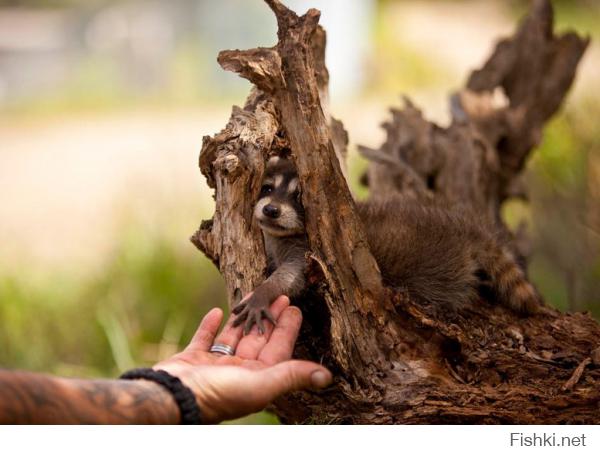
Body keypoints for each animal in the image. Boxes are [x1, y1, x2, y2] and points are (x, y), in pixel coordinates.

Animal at [232, 155, 540, 334]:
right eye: (268, 188)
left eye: (299, 198)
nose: (271, 210)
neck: (283, 234)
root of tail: (464, 228)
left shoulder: (310, 252)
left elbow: (291, 276)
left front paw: (264, 293)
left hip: (438, 268)